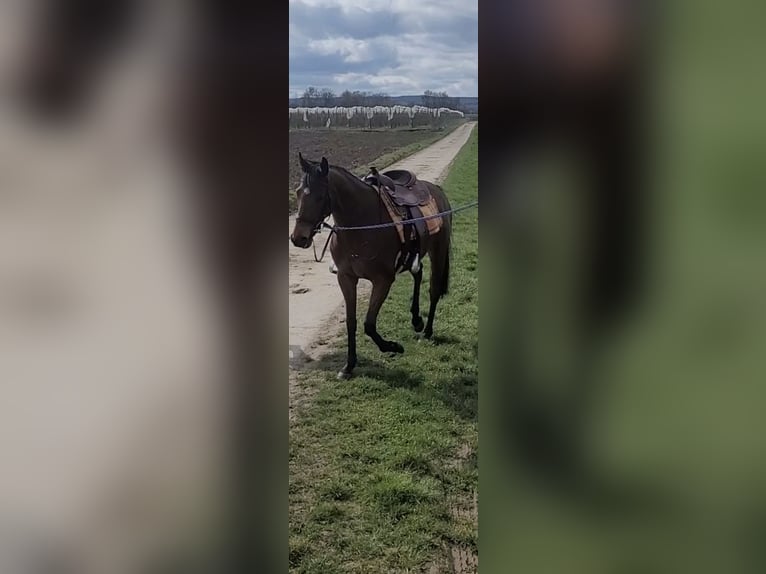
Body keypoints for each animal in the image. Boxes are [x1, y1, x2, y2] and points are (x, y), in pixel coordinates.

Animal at [290, 153, 452, 380]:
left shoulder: (383, 280)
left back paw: (427, 331)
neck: (362, 224)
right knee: (418, 274)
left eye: (320, 196)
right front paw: (348, 366)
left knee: (434, 290)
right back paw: (416, 320)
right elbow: (351, 322)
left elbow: (369, 324)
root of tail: (437, 191)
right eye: (297, 192)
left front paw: (393, 347)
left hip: (438, 251)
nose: (298, 238)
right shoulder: (346, 278)